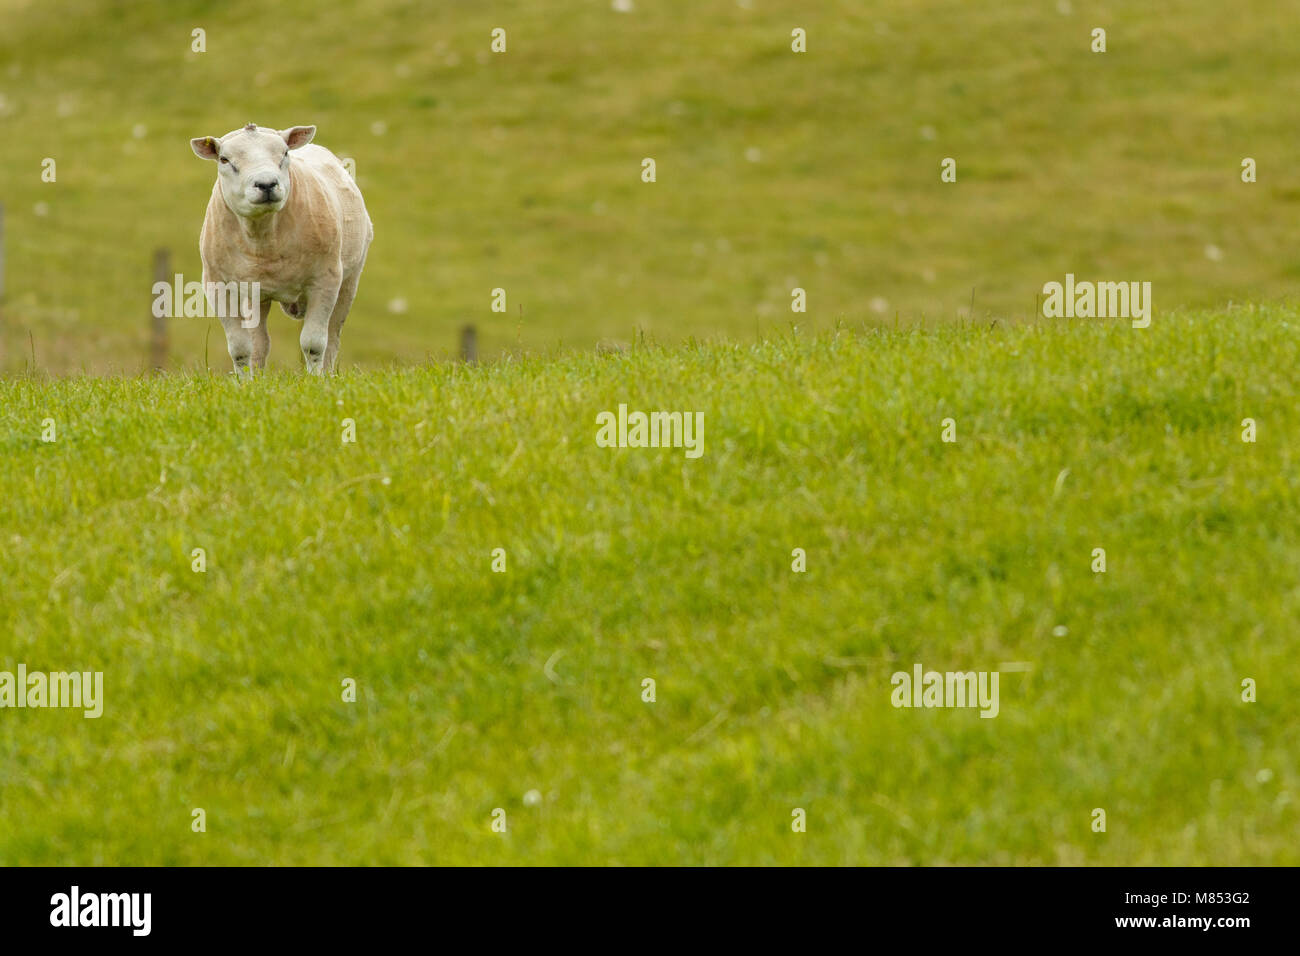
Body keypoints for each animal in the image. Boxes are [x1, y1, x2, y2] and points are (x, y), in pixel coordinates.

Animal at [188, 126, 374, 377]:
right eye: (224, 159)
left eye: (285, 153)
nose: (266, 184)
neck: (264, 242)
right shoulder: (216, 283)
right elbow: (240, 348)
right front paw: (244, 383)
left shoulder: (325, 280)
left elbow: (314, 344)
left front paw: (315, 380)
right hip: (255, 295)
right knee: (259, 343)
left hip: (348, 281)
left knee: (333, 337)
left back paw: (327, 375)